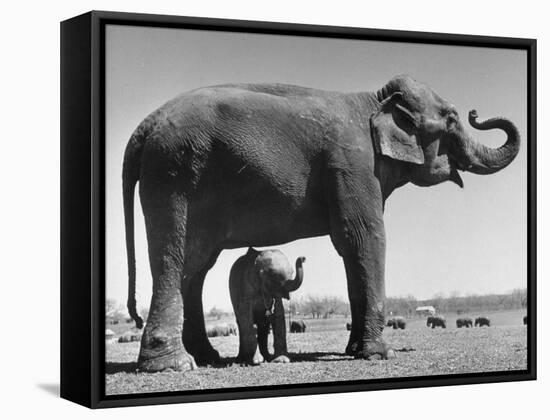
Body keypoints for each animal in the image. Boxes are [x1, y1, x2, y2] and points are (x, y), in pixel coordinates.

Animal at [124, 75, 520, 370]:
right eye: (451, 119)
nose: (475, 111)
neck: (374, 100)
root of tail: (144, 126)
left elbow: (350, 246)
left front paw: (355, 351)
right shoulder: (352, 165)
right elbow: (365, 237)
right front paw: (381, 354)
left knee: (197, 266)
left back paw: (207, 357)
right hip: (174, 175)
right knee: (174, 258)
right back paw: (175, 365)